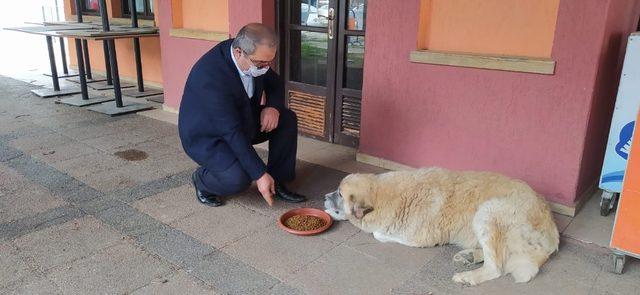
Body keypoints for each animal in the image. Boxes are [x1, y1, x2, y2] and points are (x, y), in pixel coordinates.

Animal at [322, 169, 556, 286]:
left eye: (340, 194)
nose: (324, 196)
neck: (381, 195)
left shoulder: (419, 236)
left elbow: (379, 234)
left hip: (488, 210)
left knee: (496, 267)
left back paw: (469, 277)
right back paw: (470, 256)